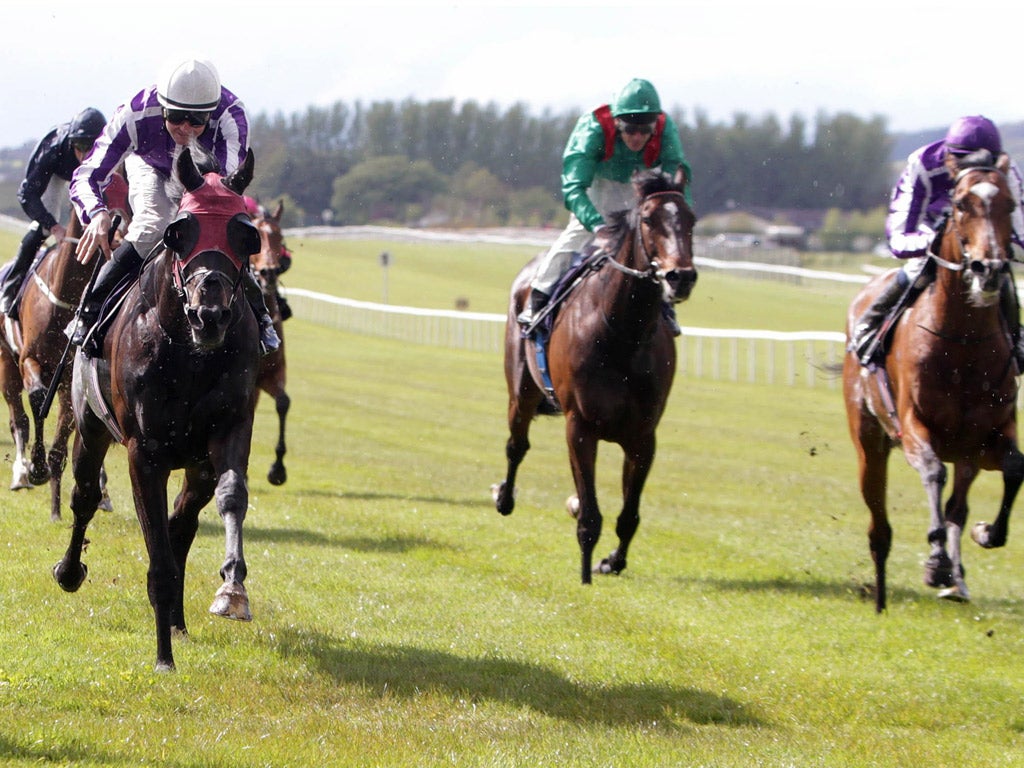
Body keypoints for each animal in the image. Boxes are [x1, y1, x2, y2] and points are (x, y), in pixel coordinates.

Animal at [54, 147, 264, 671]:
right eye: (179, 232)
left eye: (245, 234)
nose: (209, 314)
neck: (189, 354)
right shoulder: (143, 453)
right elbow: (158, 556)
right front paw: (163, 658)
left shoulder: (230, 429)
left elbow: (231, 496)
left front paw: (232, 589)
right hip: (90, 426)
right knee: (84, 495)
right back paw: (69, 570)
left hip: (195, 465)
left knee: (182, 524)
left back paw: (179, 621)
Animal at [489, 167, 696, 585]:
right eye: (648, 219)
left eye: (692, 220)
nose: (680, 276)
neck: (622, 334)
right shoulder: (580, 427)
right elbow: (589, 515)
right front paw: (585, 573)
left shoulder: (643, 437)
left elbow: (628, 515)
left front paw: (611, 562)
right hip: (521, 391)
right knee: (516, 445)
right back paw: (504, 496)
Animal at [839, 157, 1024, 614]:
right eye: (960, 204)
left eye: (1010, 204)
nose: (989, 269)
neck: (963, 342)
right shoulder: (913, 427)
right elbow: (932, 471)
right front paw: (936, 560)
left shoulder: (989, 437)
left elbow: (1016, 468)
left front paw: (985, 533)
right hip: (870, 444)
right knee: (879, 526)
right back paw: (881, 597)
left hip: (968, 456)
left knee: (958, 505)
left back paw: (957, 583)